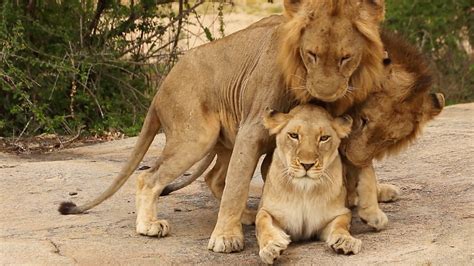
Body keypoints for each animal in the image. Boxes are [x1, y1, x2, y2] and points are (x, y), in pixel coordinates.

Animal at [260, 104, 360, 264]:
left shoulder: (337, 214)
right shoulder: (268, 210)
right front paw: (271, 247)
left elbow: (341, 225)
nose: (307, 165)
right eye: (294, 135)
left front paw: (346, 241)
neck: (304, 191)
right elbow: (263, 223)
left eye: (324, 138)